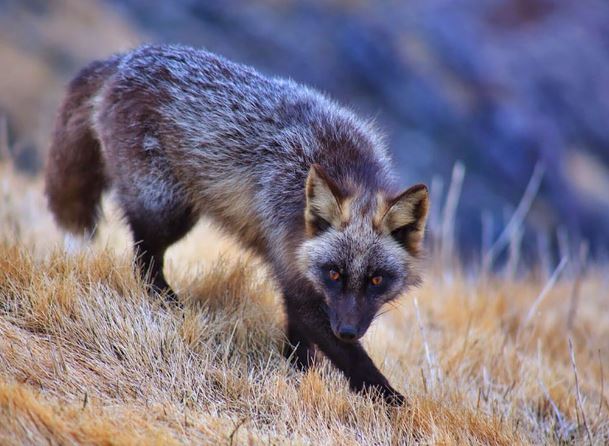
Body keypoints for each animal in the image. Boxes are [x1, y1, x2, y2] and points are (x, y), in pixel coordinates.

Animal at [45, 44, 428, 404]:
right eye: (334, 274)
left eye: (376, 280)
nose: (347, 330)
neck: (345, 167)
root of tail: (126, 57)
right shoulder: (294, 273)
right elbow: (351, 358)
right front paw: (392, 402)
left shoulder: (299, 278)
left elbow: (300, 342)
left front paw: (298, 376)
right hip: (168, 211)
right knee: (144, 257)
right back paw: (167, 304)